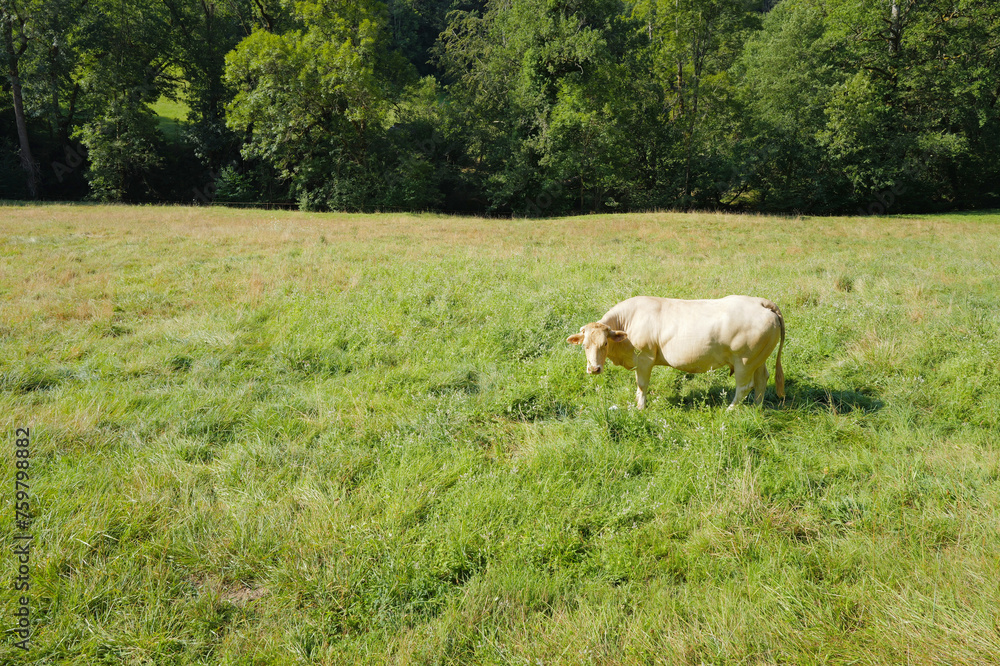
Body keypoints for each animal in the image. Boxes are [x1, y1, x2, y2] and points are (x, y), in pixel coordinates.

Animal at [568, 296, 784, 410]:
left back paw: (730, 410)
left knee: (744, 386)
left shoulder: (645, 358)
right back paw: (756, 406)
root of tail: (760, 302)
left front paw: (640, 408)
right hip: (758, 359)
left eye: (605, 343)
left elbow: (642, 385)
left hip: (744, 361)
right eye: (585, 345)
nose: (594, 369)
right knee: (761, 379)